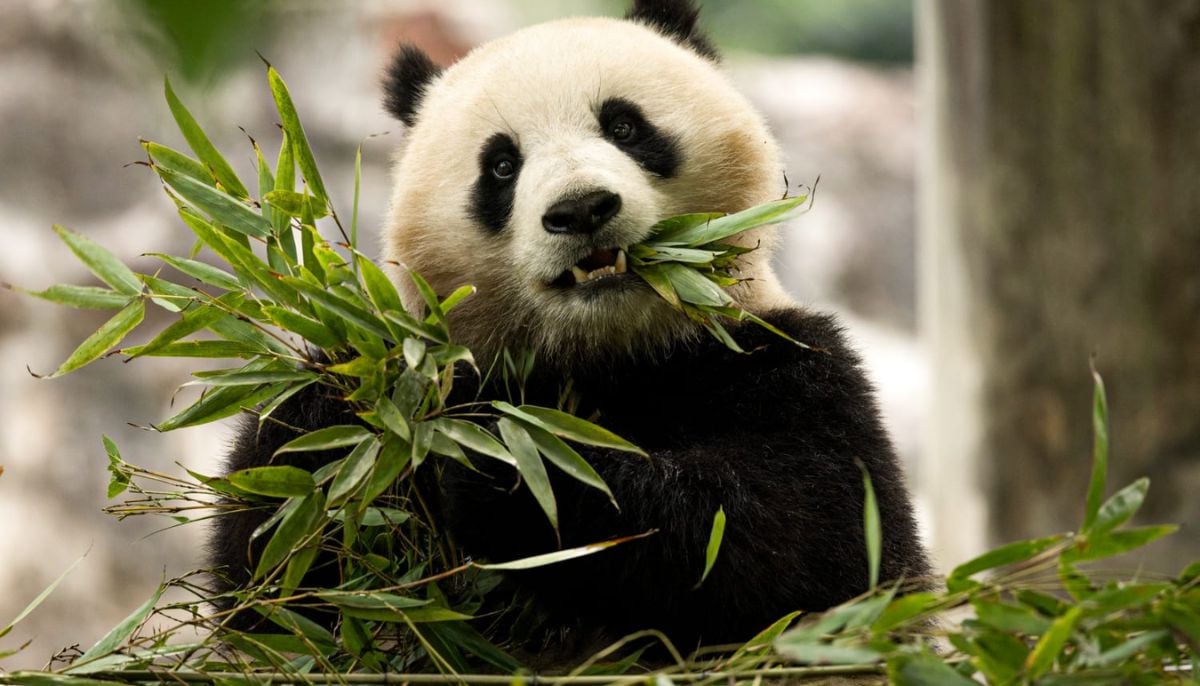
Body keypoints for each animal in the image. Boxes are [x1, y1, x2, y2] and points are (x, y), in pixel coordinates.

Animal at [211, 0, 931, 655]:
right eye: (501, 165)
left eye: (625, 125)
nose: (581, 209)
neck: (606, 352)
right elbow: (275, 585)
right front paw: (340, 414)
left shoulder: (785, 364)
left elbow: (810, 544)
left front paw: (507, 467)